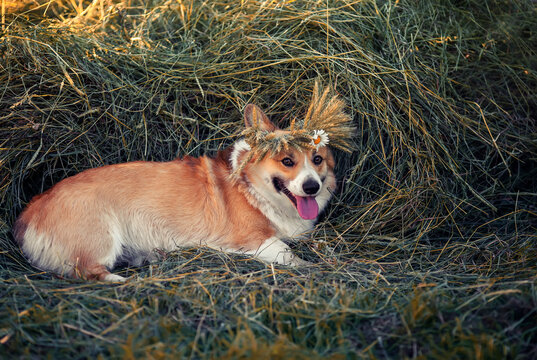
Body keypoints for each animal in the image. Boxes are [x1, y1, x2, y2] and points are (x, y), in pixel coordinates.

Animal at [13, 104, 336, 282]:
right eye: (287, 161)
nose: (312, 187)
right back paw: (121, 280)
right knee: (87, 271)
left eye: (317, 159)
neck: (251, 188)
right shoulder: (253, 240)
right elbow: (287, 253)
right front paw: (309, 266)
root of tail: (29, 212)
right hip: (100, 236)